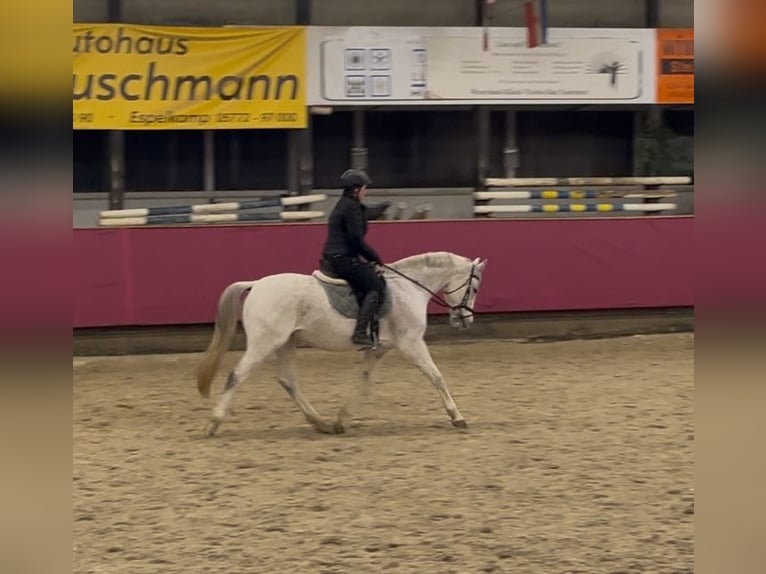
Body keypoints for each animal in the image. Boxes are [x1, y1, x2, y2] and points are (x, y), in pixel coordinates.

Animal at [196, 252, 486, 436]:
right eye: (473, 288)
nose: (466, 320)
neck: (409, 288)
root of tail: (256, 284)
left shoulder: (378, 349)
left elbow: (365, 384)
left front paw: (341, 420)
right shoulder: (411, 344)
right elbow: (436, 376)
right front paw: (457, 417)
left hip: (285, 344)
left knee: (288, 381)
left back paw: (321, 423)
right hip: (263, 344)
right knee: (236, 376)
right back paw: (213, 423)